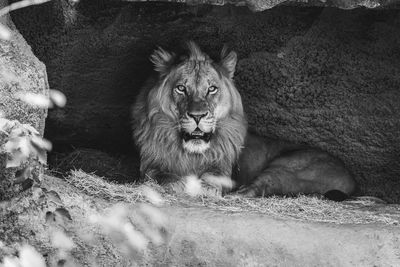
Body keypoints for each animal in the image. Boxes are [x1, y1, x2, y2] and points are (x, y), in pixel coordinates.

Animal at [132, 42, 356, 201]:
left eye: (211, 88)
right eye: (181, 88)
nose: (198, 116)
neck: (191, 153)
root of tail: (352, 177)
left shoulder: (220, 172)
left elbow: (208, 182)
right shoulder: (151, 167)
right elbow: (165, 179)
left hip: (285, 168)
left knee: (254, 189)